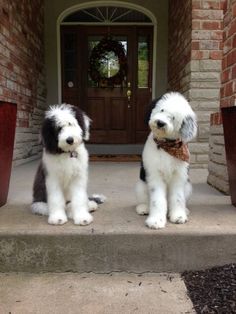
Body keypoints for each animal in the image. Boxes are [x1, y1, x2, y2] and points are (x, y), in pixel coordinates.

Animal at [135, 92, 197, 229]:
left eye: (173, 117)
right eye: (162, 110)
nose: (160, 123)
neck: (166, 146)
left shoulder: (179, 176)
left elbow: (178, 197)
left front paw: (178, 216)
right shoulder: (155, 175)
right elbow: (157, 200)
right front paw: (156, 221)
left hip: (188, 187)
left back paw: (185, 210)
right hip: (141, 185)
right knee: (145, 200)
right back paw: (143, 208)